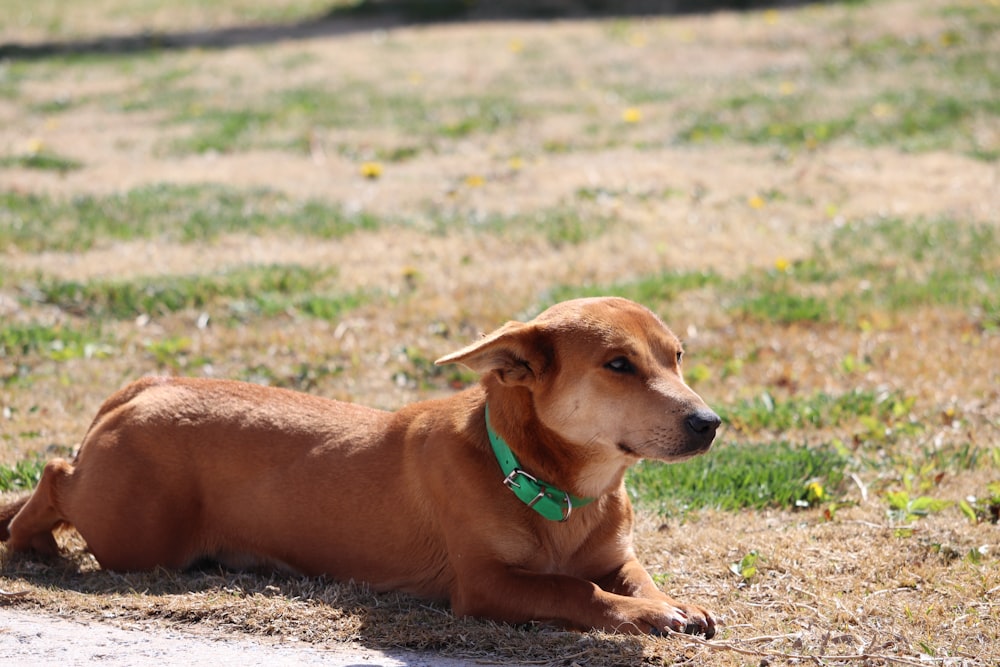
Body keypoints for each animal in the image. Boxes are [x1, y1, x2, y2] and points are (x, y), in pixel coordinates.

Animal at [0, 298, 720, 636]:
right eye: (618, 364)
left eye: (677, 356)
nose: (709, 422)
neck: (559, 487)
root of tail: (148, 386)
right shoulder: (485, 584)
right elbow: (573, 591)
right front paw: (646, 617)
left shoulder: (615, 556)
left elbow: (635, 579)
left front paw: (669, 604)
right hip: (138, 533)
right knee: (53, 471)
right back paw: (32, 539)